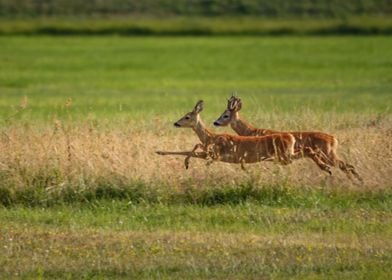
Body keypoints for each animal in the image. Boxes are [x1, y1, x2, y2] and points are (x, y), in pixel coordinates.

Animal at [156, 101, 298, 171]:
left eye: (187, 117)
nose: (176, 123)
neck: (211, 137)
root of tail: (290, 138)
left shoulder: (216, 154)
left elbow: (191, 150)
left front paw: (187, 163)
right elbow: (193, 148)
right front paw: (160, 151)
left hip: (283, 155)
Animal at [213, 95, 362, 180]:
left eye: (225, 115)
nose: (215, 122)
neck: (252, 131)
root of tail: (334, 139)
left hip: (328, 154)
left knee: (345, 165)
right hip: (330, 154)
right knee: (347, 165)